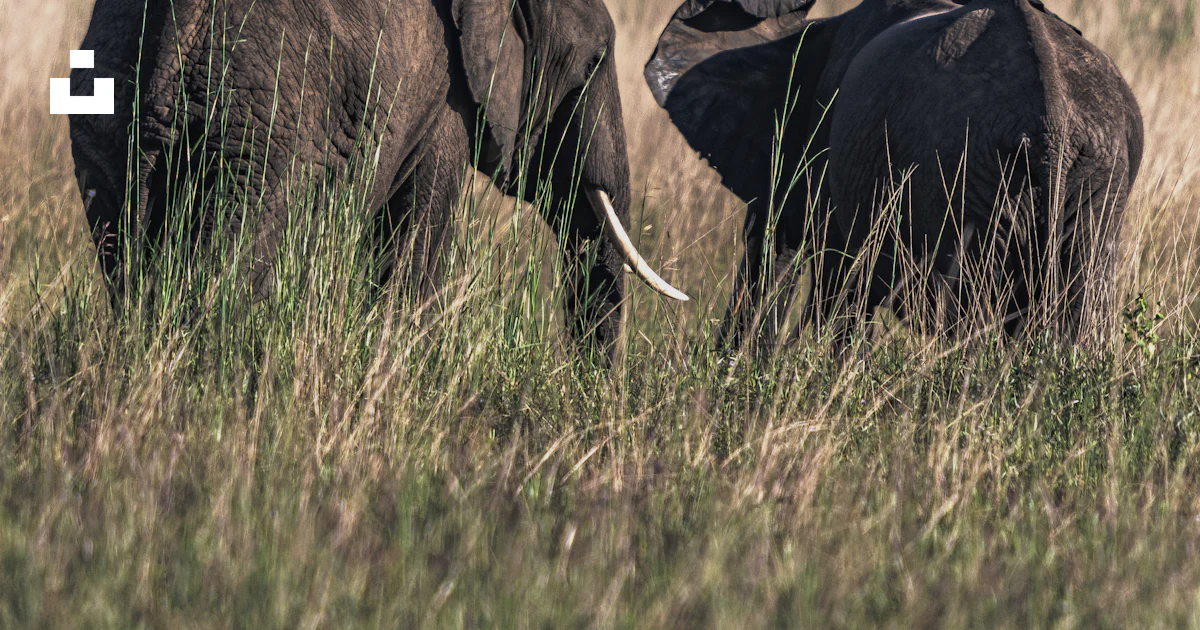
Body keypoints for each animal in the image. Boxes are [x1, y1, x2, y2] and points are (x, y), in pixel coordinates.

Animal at [68, 0, 688, 357]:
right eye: (596, 60)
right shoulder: (445, 96)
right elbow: (415, 234)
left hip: (109, 111)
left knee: (126, 256)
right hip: (264, 132)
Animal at [645, 0, 1143, 351]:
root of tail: (1054, 115)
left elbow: (832, 276)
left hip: (965, 171)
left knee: (973, 315)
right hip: (1096, 179)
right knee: (1080, 311)